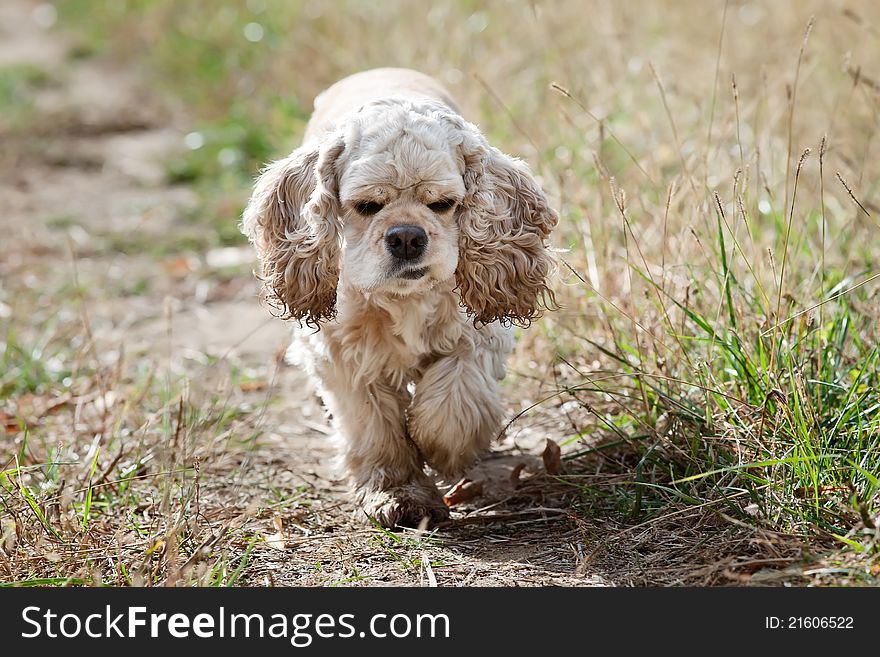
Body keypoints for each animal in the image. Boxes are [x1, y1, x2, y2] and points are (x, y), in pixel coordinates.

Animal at [241, 68, 556, 528]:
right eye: (367, 206)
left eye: (442, 204)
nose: (407, 237)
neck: (403, 299)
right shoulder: (347, 356)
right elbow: (375, 429)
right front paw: (396, 494)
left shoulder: (477, 336)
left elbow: (453, 402)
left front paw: (440, 449)